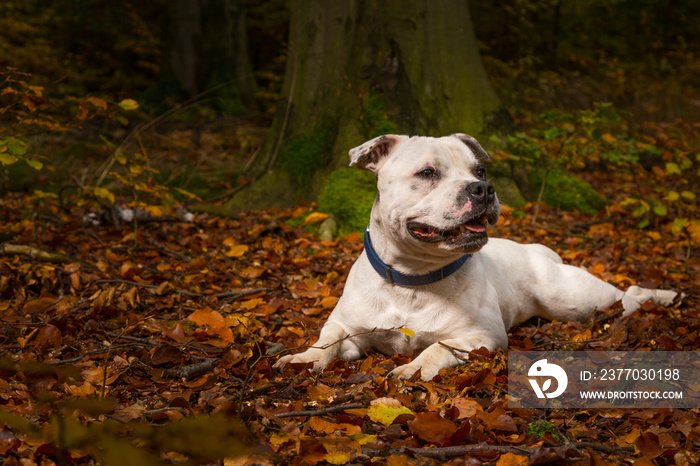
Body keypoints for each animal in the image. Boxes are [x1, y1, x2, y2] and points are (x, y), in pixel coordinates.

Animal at [274, 133, 680, 380]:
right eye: (427, 172)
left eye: (480, 170)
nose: (483, 187)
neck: (412, 278)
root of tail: (534, 249)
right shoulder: (351, 331)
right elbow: (326, 341)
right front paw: (303, 358)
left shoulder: (479, 337)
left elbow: (436, 348)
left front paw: (412, 368)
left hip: (575, 300)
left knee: (628, 294)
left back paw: (663, 296)